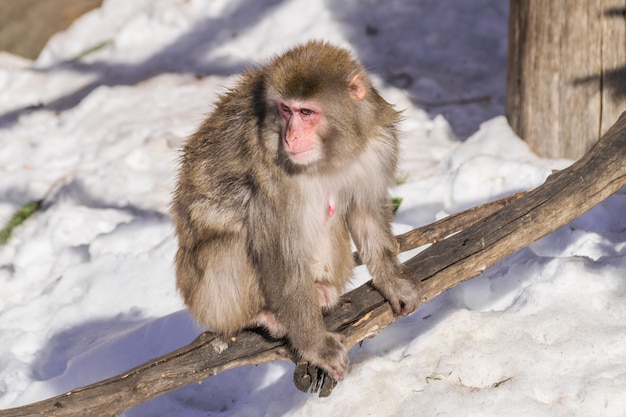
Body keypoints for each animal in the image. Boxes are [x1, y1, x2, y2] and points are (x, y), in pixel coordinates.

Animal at [172, 39, 420, 380]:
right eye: (285, 110)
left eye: (306, 112)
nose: (290, 137)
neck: (332, 155)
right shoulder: (272, 175)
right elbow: (279, 252)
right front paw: (316, 346)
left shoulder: (377, 145)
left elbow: (365, 211)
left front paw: (393, 283)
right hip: (204, 298)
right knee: (233, 241)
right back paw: (260, 316)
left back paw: (320, 291)